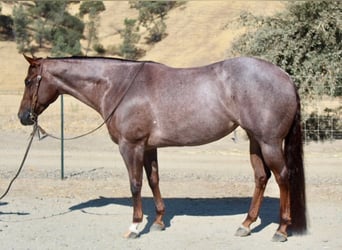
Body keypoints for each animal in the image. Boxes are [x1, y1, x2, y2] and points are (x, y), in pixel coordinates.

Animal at [17, 55, 306, 242]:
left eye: (29, 81)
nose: (23, 117)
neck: (120, 85)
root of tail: (285, 77)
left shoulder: (130, 146)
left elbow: (135, 184)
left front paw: (135, 227)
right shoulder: (148, 148)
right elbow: (153, 180)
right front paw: (157, 222)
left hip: (269, 142)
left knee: (282, 178)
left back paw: (281, 230)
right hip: (256, 141)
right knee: (261, 177)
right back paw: (245, 225)